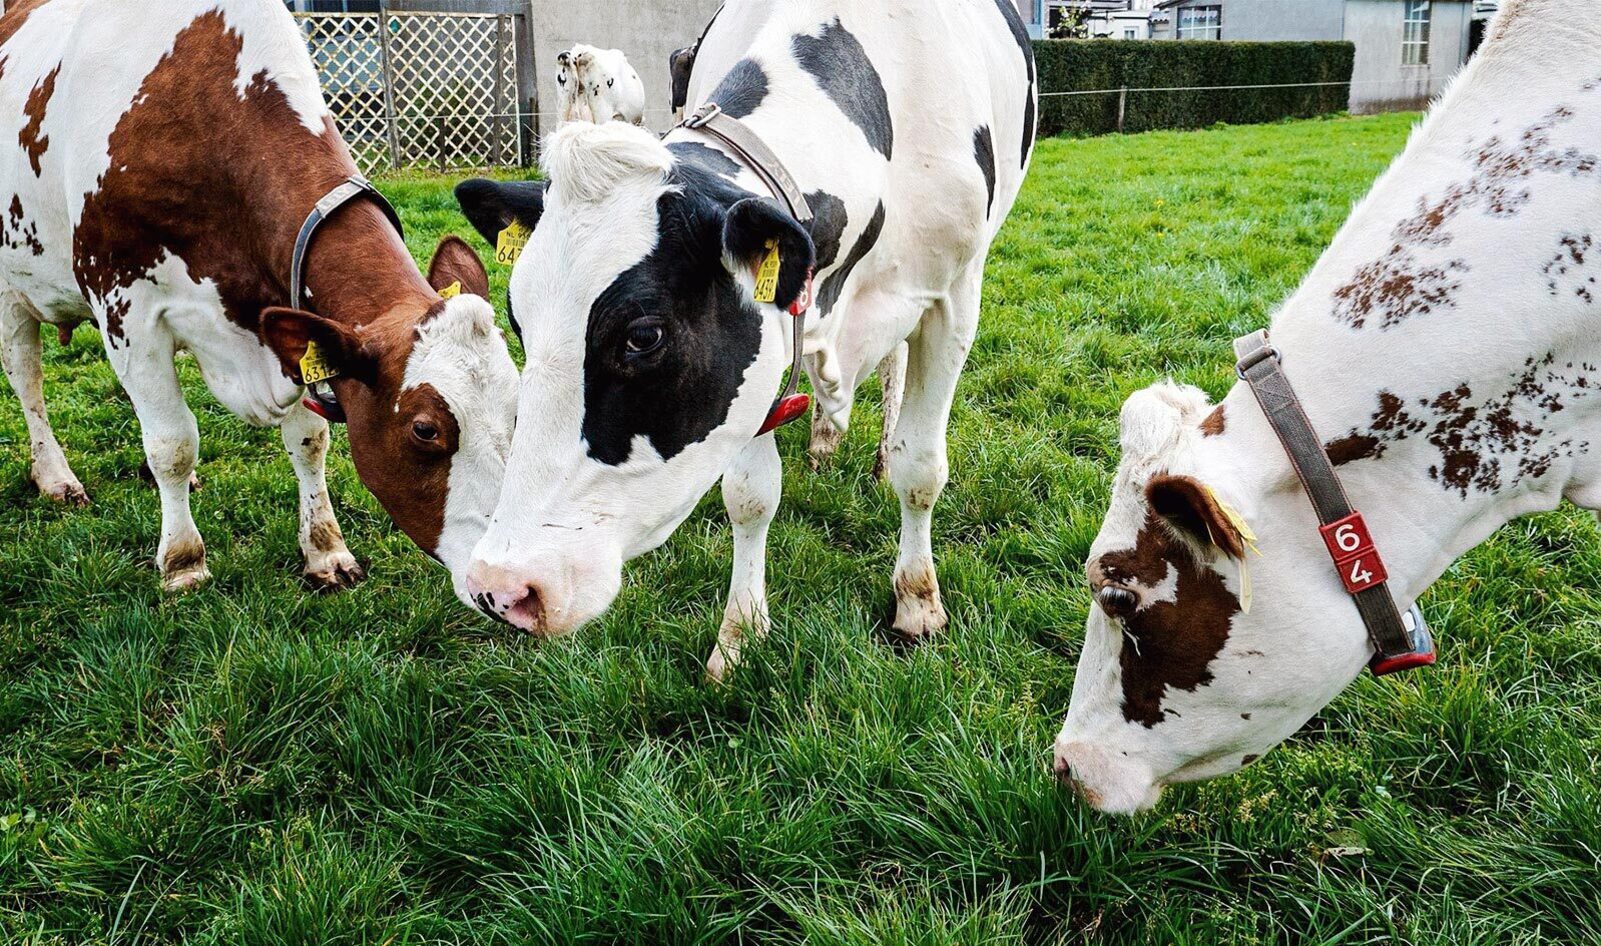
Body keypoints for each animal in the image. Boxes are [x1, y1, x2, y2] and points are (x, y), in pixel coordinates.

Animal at [0, 0, 518, 599]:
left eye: (519, 405)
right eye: (424, 429)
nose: (508, 575)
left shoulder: (287, 325)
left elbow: (310, 438)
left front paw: (326, 550)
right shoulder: (127, 310)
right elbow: (172, 443)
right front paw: (182, 562)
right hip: (11, 291)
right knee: (28, 378)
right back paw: (55, 477)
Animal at [454, 0, 1038, 679]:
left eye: (643, 336)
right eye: (518, 321)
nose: (500, 587)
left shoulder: (954, 299)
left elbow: (920, 467)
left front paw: (918, 604)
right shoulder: (762, 353)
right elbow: (750, 496)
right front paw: (739, 636)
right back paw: (824, 438)